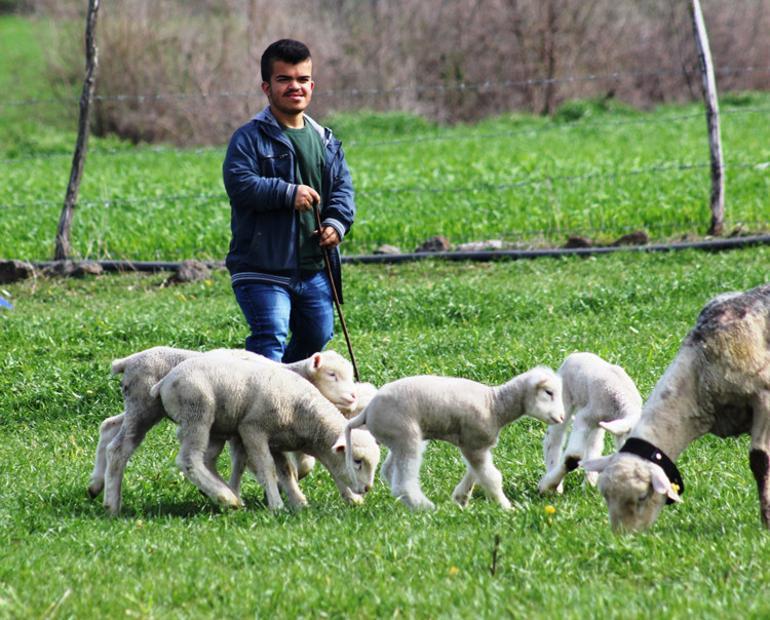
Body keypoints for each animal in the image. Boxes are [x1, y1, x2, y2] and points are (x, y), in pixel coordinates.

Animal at [90, 346, 356, 516]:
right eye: (332, 374)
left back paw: (96, 485)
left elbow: (245, 462)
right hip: (146, 406)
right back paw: (112, 504)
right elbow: (254, 462)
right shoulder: (248, 427)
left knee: (109, 426)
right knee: (120, 447)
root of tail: (128, 361)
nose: (353, 397)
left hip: (144, 408)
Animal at [148, 352, 380, 512]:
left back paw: (228, 494)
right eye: (357, 461)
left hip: (217, 427)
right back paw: (226, 497)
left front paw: (300, 502)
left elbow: (289, 470)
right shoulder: (253, 430)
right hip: (197, 413)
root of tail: (164, 381)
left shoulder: (279, 442)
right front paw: (277, 504)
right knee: (190, 459)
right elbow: (268, 467)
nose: (368, 488)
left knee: (208, 459)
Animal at [344, 368, 560, 508]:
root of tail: (366, 412)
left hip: (396, 440)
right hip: (405, 436)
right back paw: (424, 507)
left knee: (389, 471)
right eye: (548, 392)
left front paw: (461, 498)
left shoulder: (475, 445)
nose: (561, 418)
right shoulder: (474, 444)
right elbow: (491, 477)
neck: (495, 405)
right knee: (403, 483)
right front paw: (506, 507)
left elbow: (476, 473)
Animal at [536, 354, 640, 494]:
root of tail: (576, 354)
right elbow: (573, 457)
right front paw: (548, 486)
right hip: (564, 398)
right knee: (554, 438)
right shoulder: (585, 416)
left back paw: (589, 482)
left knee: (594, 444)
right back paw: (555, 482)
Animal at [580, 286, 768, 532]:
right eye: (606, 496)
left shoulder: (764, 400)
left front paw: (766, 520)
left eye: (642, 497)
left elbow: (759, 461)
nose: (623, 537)